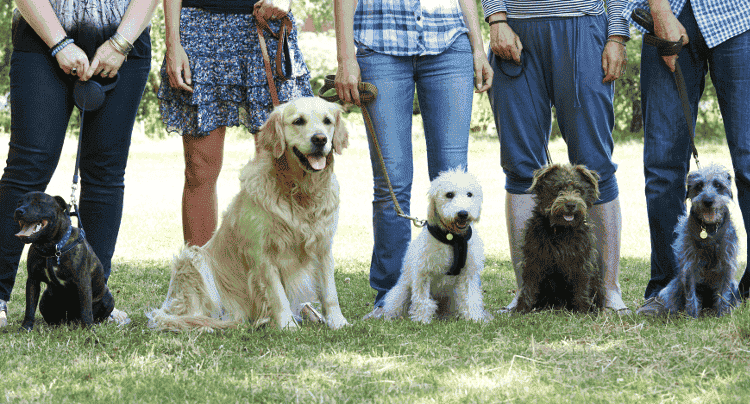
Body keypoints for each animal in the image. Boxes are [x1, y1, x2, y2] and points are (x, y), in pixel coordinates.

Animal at [15, 191, 114, 330]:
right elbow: (29, 307)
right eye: (19, 202)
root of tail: (71, 320)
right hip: (45, 300)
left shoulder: (82, 282)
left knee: (97, 315)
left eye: (39, 202)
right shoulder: (33, 280)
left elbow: (86, 309)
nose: (19, 211)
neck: (52, 247)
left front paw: (88, 329)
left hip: (108, 298)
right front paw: (26, 327)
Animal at [151, 96, 356, 330]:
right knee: (190, 313)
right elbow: (277, 294)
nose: (320, 139)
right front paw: (287, 325)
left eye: (327, 121)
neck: (299, 192)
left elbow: (330, 291)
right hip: (193, 259)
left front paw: (338, 322)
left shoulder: (323, 246)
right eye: (298, 121)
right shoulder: (262, 252)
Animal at [384, 166, 490, 322]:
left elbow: (470, 297)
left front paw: (473, 318)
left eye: (469, 194)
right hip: (401, 293)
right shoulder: (423, 272)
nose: (463, 213)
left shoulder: (468, 273)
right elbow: (422, 299)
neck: (453, 239)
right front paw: (422, 319)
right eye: (449, 194)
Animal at [516, 163, 608, 312]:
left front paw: (583, 311)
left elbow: (582, 286)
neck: (561, 229)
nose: (571, 204)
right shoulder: (534, 259)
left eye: (579, 190)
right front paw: (521, 310)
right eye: (558, 188)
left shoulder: (581, 261)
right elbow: (529, 287)